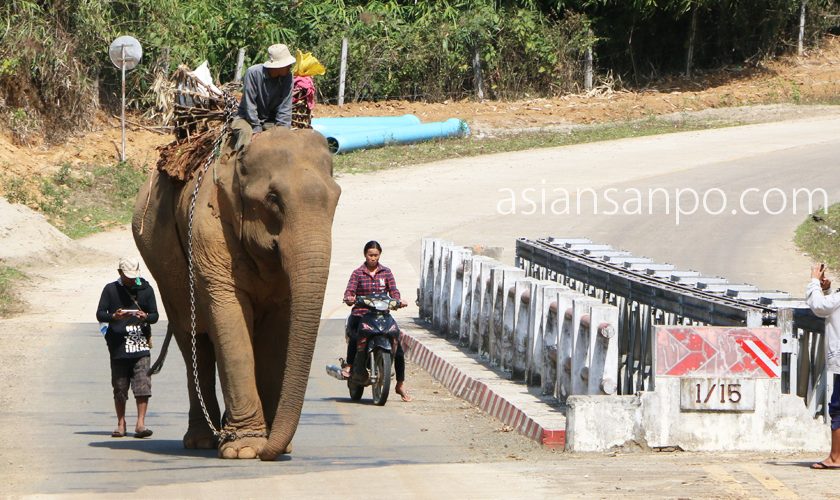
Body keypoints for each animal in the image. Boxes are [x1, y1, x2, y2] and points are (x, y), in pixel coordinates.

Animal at [133, 127, 340, 458]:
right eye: (272, 198)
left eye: (336, 198)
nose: (273, 450)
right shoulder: (208, 227)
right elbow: (229, 316)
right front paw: (246, 449)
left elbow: (276, 331)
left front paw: (266, 444)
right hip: (161, 261)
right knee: (195, 340)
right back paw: (203, 440)